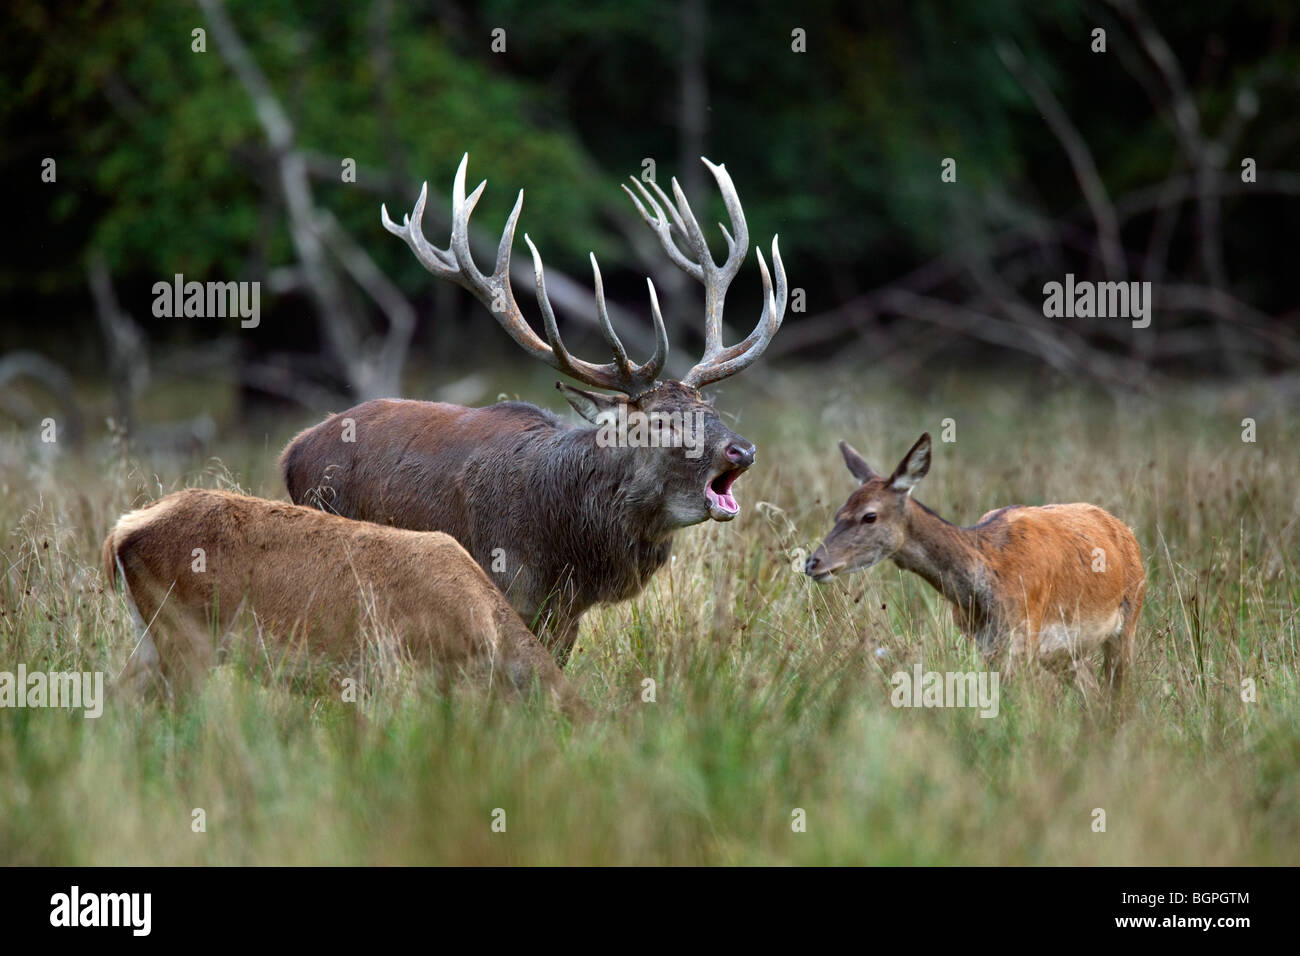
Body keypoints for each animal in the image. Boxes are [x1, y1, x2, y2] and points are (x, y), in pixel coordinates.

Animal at [280, 157, 785, 665]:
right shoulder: (501, 585)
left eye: (708, 407)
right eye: (659, 420)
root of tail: (292, 451)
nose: (742, 450)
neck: (563, 548)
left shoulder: (567, 615)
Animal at [800, 437, 1149, 697]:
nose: (813, 562)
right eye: (838, 512)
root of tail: (1126, 531)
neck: (982, 591)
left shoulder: (1023, 634)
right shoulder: (984, 643)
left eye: (869, 516)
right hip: (1069, 652)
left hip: (1129, 620)